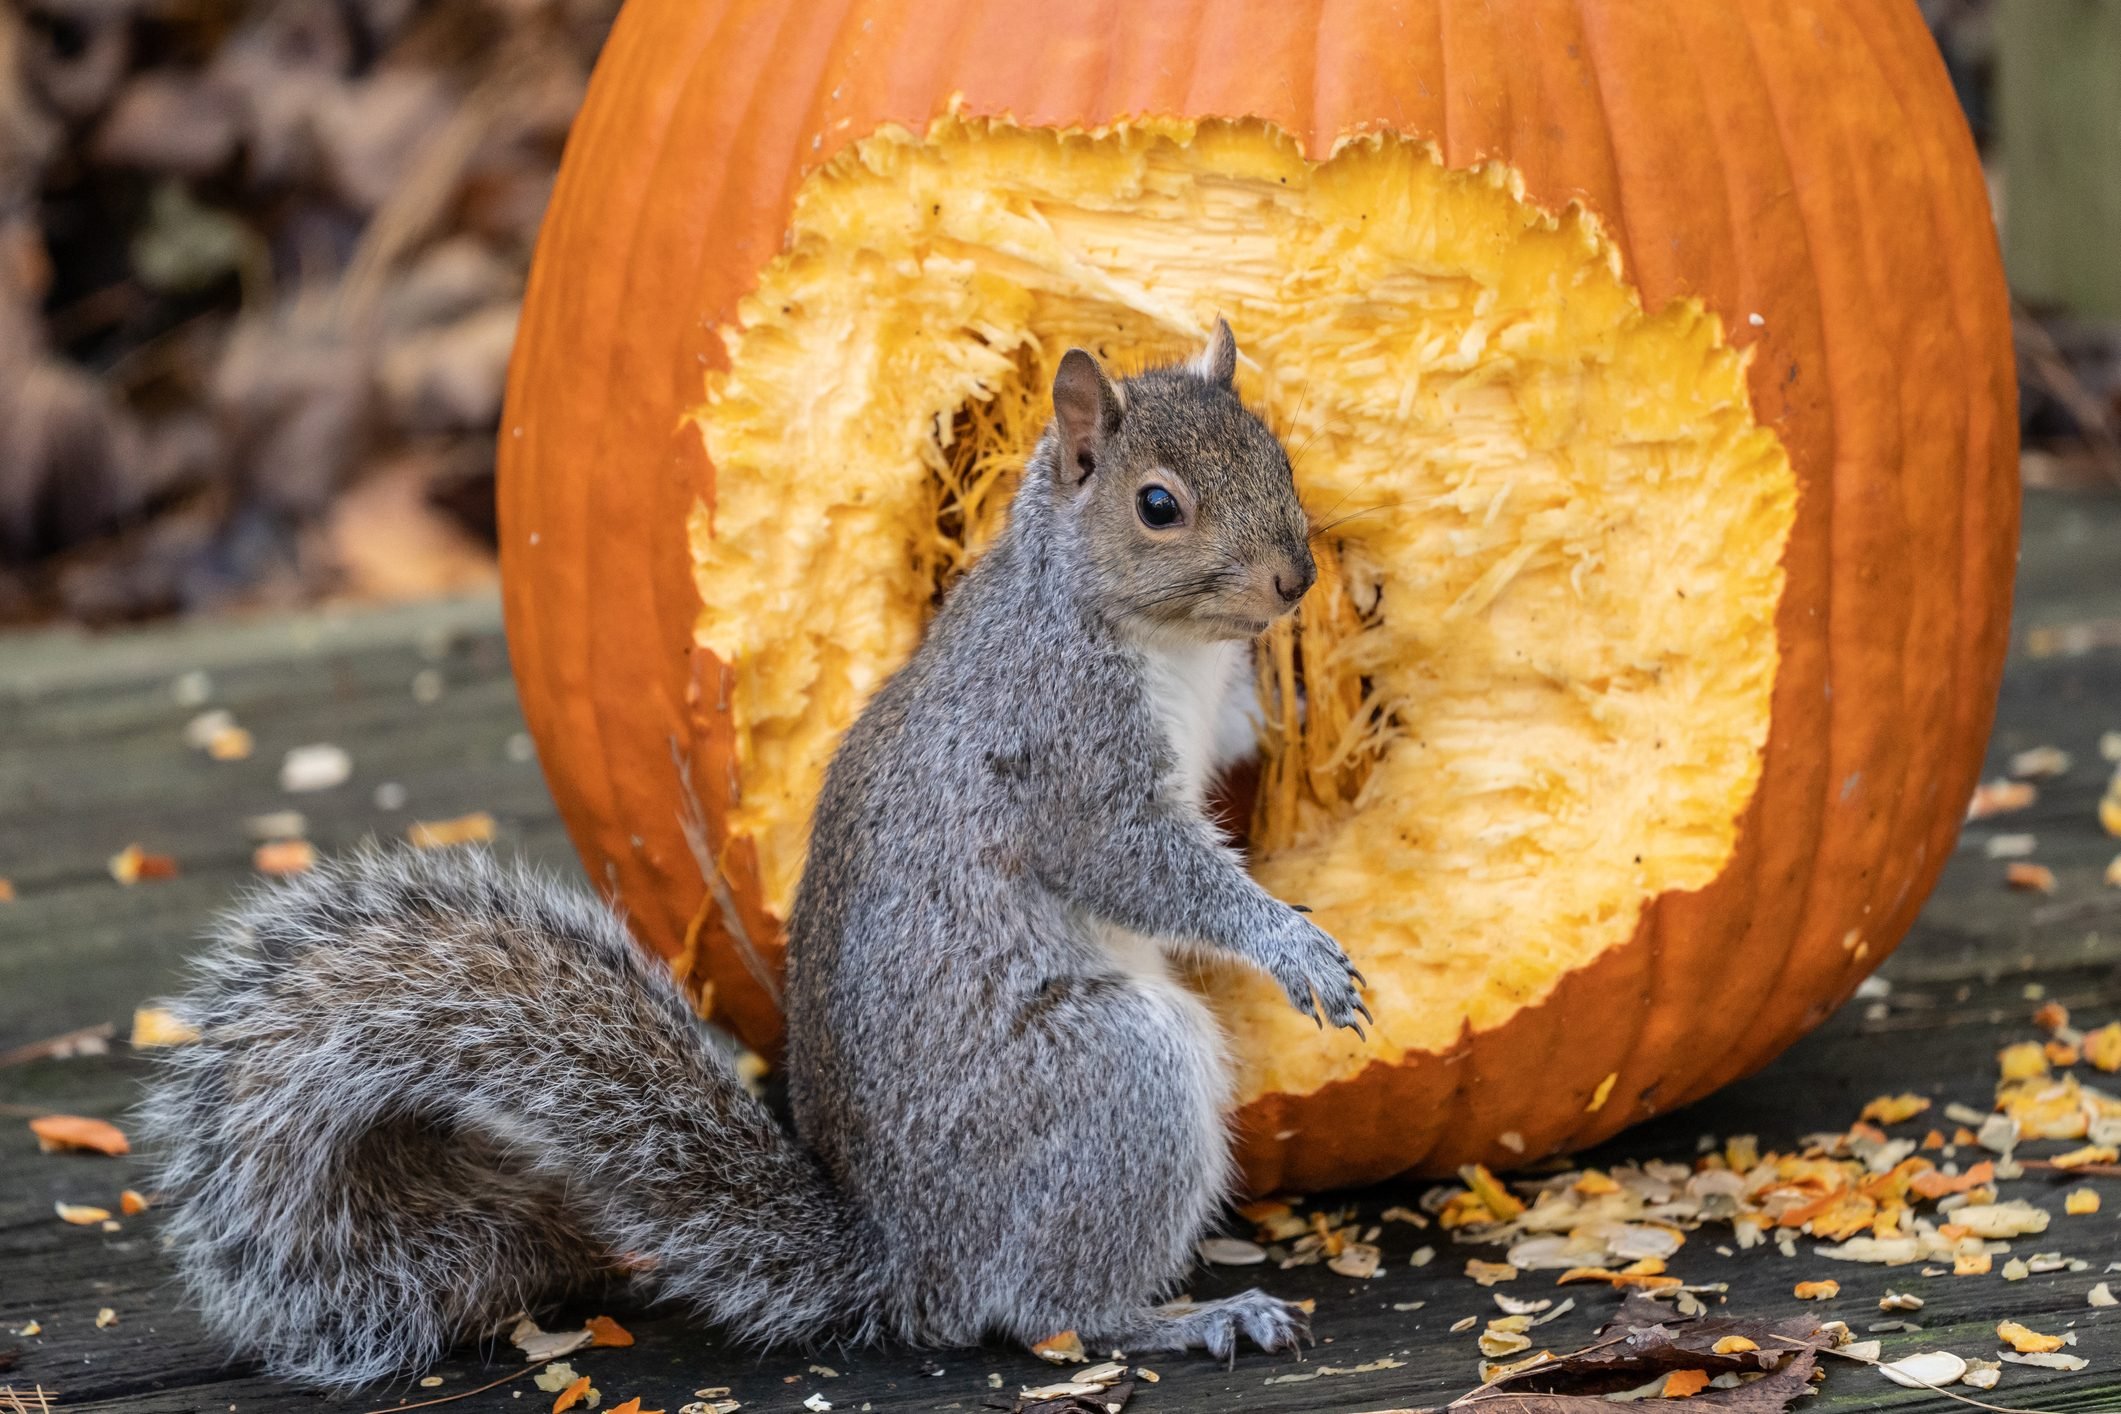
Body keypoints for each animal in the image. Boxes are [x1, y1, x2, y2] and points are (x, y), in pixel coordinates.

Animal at [141, 317, 1365, 1382]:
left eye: (1277, 453)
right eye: (1159, 506)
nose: (1294, 580)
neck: (1153, 639)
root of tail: (910, 1266)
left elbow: (1241, 740)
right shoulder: (1062, 752)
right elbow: (1139, 864)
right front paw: (1290, 945)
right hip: (1112, 1078)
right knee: (1051, 1308)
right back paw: (1189, 1316)